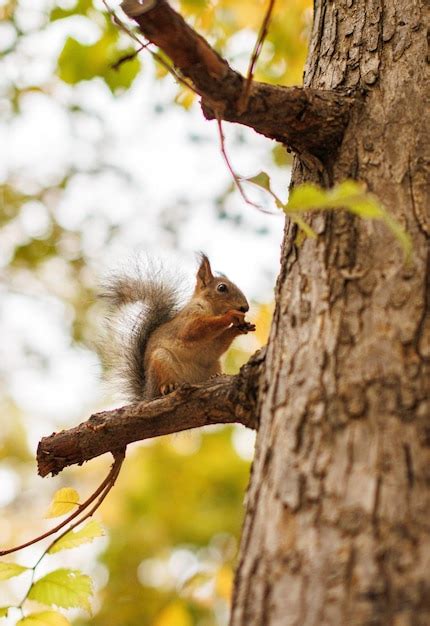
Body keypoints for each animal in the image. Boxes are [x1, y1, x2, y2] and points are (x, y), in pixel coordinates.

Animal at [100, 252, 255, 400]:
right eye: (222, 288)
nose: (245, 307)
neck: (213, 310)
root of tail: (147, 394)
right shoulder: (187, 320)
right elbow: (194, 330)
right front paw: (230, 316)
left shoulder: (213, 345)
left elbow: (218, 345)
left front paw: (239, 328)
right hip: (160, 359)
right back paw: (167, 387)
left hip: (213, 365)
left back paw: (215, 377)